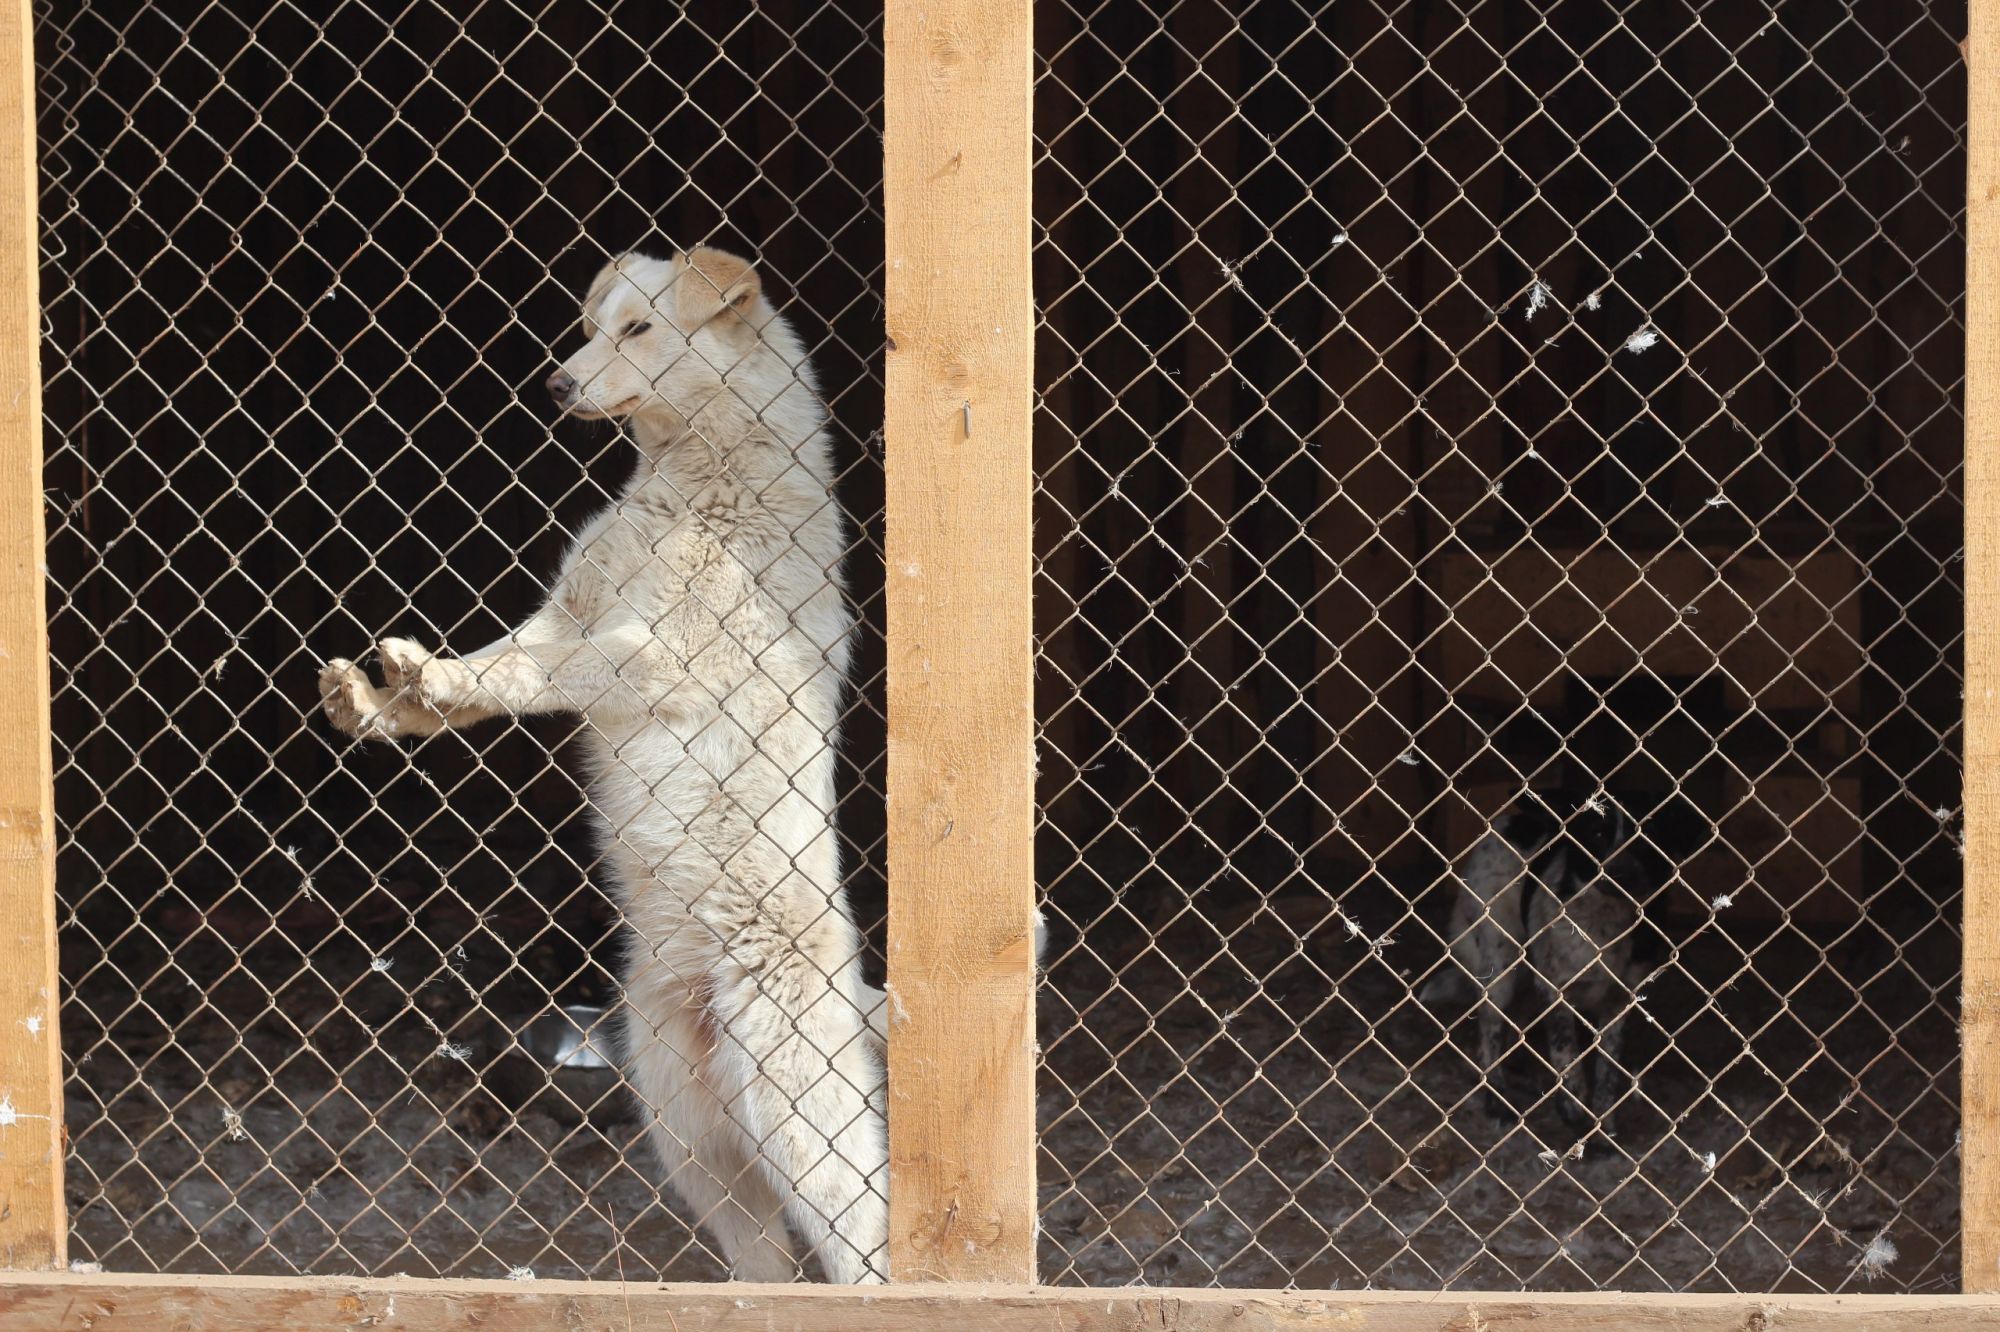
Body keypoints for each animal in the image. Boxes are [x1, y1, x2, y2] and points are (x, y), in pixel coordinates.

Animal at [318, 246, 884, 1280]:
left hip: (800, 1125)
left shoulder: (648, 653)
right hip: (691, 1143)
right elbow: (498, 668)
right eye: (593, 326)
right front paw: (385, 703)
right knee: (769, 1269)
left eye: (640, 330)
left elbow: (532, 676)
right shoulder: (568, 613)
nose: (555, 384)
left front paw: (434, 680)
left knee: (865, 1245)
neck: (690, 483)